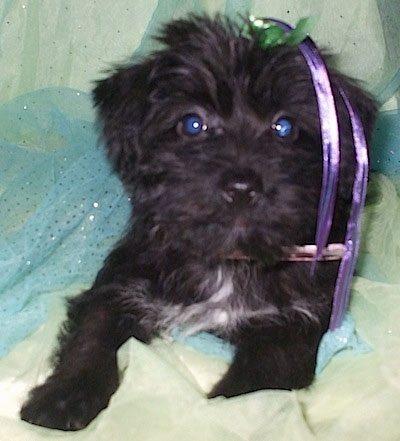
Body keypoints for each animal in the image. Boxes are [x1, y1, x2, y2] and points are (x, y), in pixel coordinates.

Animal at [18, 15, 376, 428]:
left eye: (283, 127)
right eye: (193, 124)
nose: (242, 187)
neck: (229, 259)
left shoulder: (293, 318)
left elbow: (262, 378)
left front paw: (231, 414)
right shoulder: (123, 282)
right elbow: (91, 333)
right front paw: (63, 397)